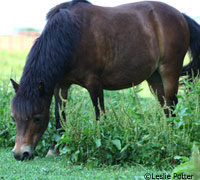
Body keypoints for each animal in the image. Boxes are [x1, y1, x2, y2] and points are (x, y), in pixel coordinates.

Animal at [10, 0, 200, 160]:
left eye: (37, 118)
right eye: (14, 118)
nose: (20, 154)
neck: (72, 35)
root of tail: (181, 16)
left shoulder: (94, 83)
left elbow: (99, 114)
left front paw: (102, 144)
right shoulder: (60, 85)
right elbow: (60, 114)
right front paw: (54, 148)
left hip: (169, 71)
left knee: (172, 105)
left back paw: (172, 139)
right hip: (154, 78)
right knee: (166, 108)